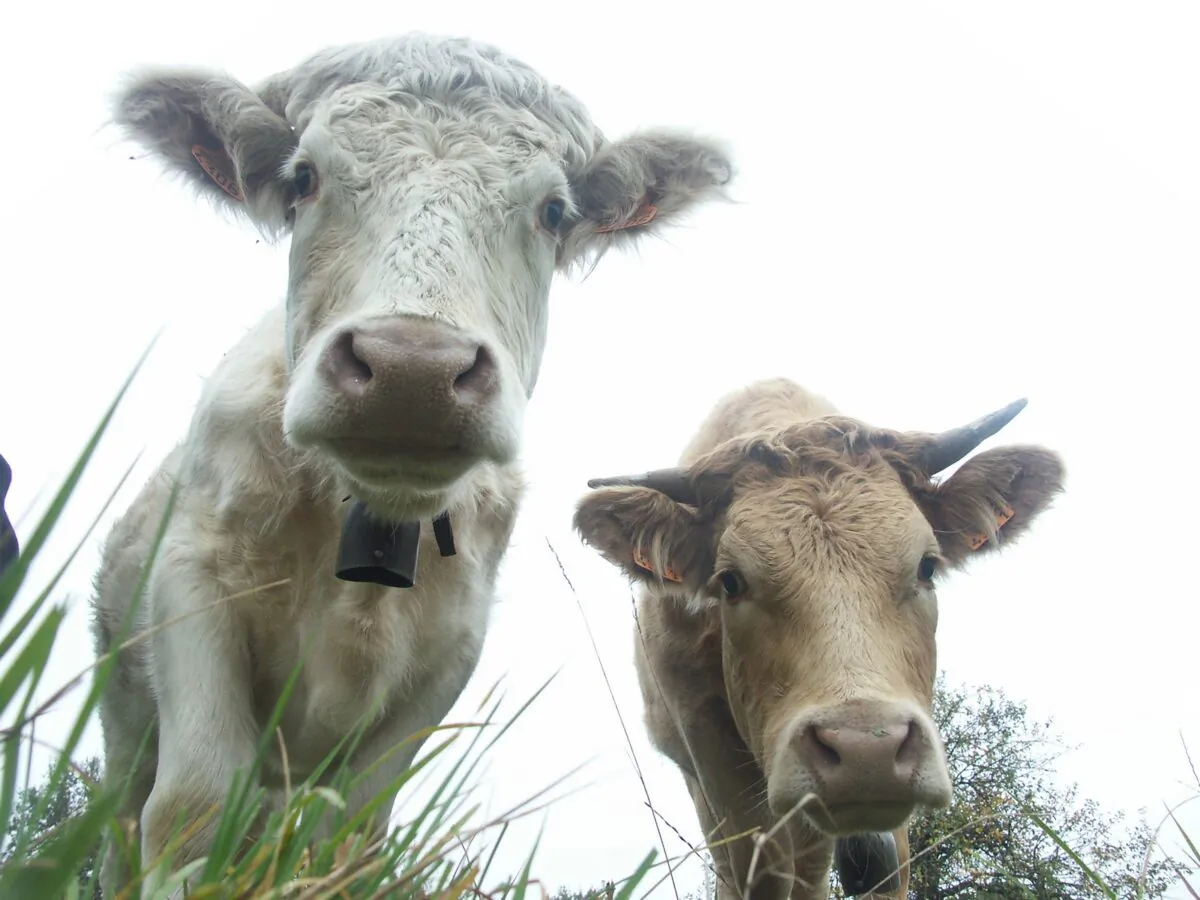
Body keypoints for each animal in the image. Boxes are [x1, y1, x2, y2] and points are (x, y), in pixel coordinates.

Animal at [90, 33, 733, 899]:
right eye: (304, 178)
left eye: (554, 211)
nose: (411, 371)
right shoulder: (191, 585)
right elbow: (193, 806)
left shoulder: (439, 667)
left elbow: (345, 840)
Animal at [573, 378, 1065, 900]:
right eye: (730, 581)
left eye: (928, 566)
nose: (866, 750)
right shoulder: (707, 745)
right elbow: (759, 868)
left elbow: (813, 872)